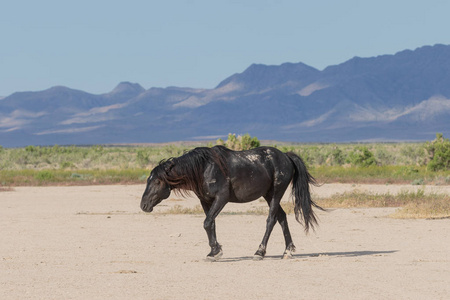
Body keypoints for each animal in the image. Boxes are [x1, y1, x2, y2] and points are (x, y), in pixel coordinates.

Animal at [139, 145, 322, 260]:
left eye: (157, 182)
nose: (143, 205)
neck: (204, 168)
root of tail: (285, 156)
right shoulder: (206, 201)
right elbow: (210, 224)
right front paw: (214, 251)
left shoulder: (222, 198)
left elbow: (207, 222)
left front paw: (216, 251)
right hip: (268, 195)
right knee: (282, 217)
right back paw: (288, 251)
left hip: (276, 193)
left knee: (271, 220)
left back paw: (259, 252)